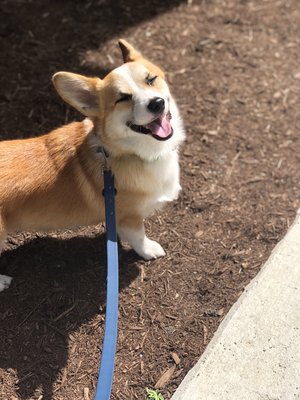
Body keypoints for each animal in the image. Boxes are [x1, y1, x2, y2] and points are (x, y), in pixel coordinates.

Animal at [0, 39, 185, 290]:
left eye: (151, 79)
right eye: (122, 98)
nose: (156, 104)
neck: (131, 153)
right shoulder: (129, 217)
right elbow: (139, 237)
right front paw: (149, 250)